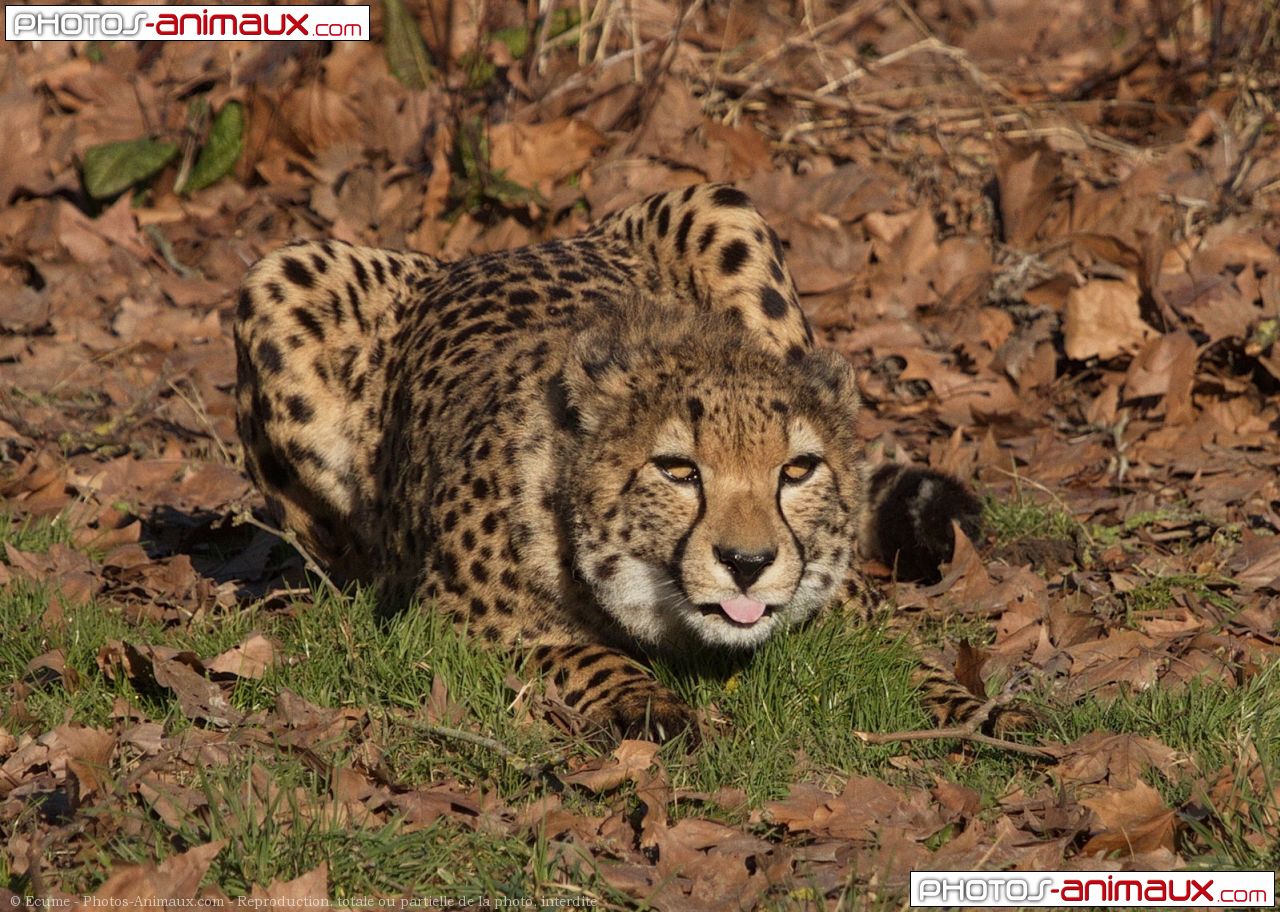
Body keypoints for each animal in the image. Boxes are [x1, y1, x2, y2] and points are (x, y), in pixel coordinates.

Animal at [235, 183, 983, 742]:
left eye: (796, 470)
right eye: (678, 470)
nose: (747, 563)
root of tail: (491, 252)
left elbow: (906, 658)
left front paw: (969, 708)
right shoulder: (447, 626)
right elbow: (577, 651)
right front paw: (646, 702)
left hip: (722, 207)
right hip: (277, 278)